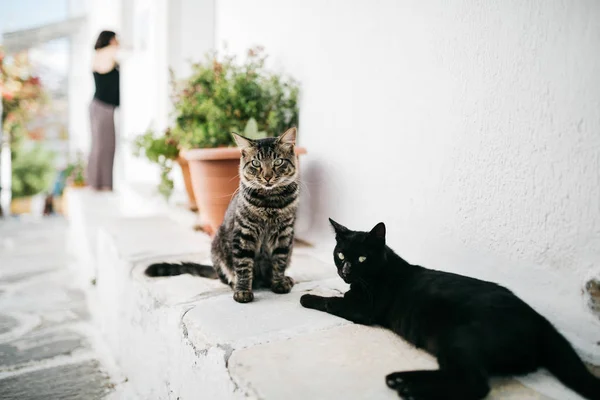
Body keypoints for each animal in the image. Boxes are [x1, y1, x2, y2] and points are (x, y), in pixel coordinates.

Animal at [146, 128, 300, 304]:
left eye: (278, 162)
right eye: (256, 163)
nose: (267, 177)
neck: (270, 203)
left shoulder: (284, 234)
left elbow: (279, 262)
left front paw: (279, 282)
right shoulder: (244, 233)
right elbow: (243, 266)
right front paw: (243, 291)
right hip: (217, 248)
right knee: (227, 277)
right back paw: (236, 283)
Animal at [300, 219, 600, 400]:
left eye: (362, 258)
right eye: (340, 255)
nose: (345, 270)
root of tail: (540, 321)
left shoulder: (361, 309)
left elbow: (330, 300)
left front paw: (306, 298)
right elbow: (336, 293)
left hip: (458, 337)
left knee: (475, 383)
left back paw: (405, 384)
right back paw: (404, 383)